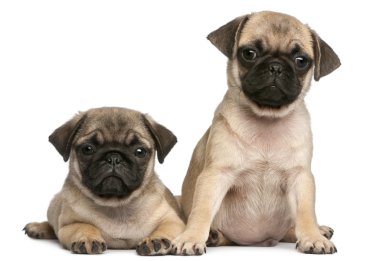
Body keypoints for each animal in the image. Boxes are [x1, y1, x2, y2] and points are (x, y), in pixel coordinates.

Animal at [23, 106, 185, 255]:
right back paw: (38, 227)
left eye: (140, 151)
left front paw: (156, 239)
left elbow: (166, 227)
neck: (116, 204)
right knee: (52, 225)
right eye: (88, 149)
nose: (114, 157)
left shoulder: (173, 221)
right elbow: (84, 226)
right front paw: (87, 238)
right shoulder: (69, 225)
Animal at [174, 10, 340, 254]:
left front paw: (313, 237)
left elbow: (306, 212)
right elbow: (201, 210)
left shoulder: (300, 178)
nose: (276, 66)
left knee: (291, 227)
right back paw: (213, 236)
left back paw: (319, 230)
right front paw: (191, 237)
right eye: (249, 53)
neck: (266, 119)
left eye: (301, 61)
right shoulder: (215, 176)